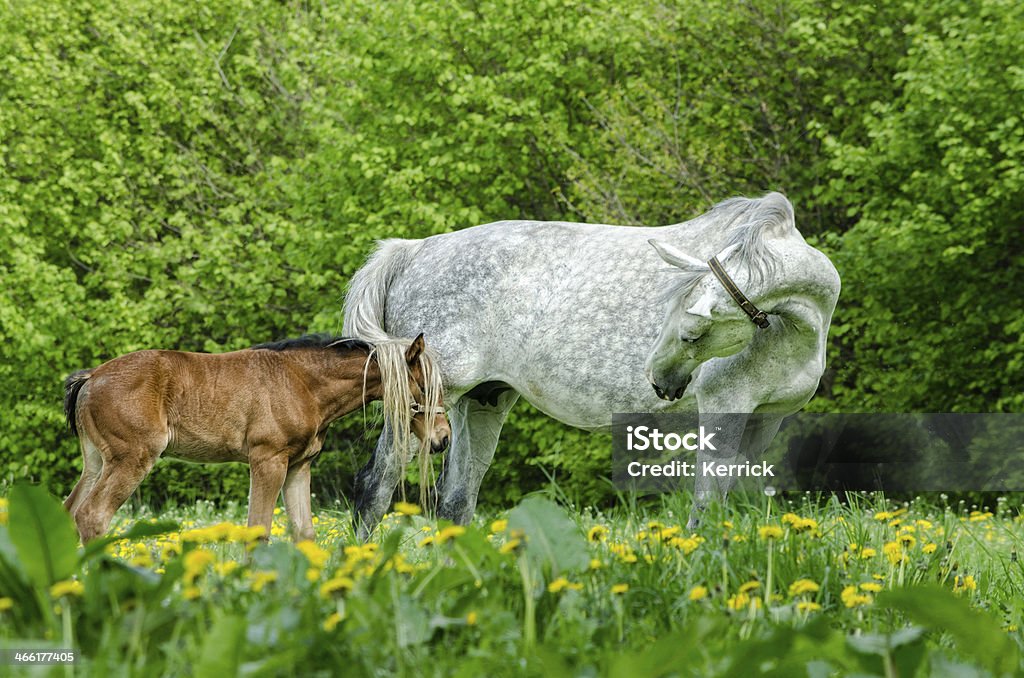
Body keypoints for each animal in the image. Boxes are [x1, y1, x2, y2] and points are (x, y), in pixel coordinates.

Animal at [60, 331, 448, 544]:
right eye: (426, 386)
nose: (443, 438)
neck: (303, 384)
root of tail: (91, 377)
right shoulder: (268, 460)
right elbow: (258, 529)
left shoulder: (298, 466)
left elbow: (304, 532)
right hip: (132, 458)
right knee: (92, 516)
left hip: (97, 461)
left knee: (70, 511)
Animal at [344, 192, 839, 536]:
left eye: (689, 331)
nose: (658, 380)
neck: (793, 326)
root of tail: (412, 251)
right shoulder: (724, 409)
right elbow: (706, 504)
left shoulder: (766, 420)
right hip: (424, 402)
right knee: (376, 486)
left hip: (482, 402)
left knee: (455, 504)